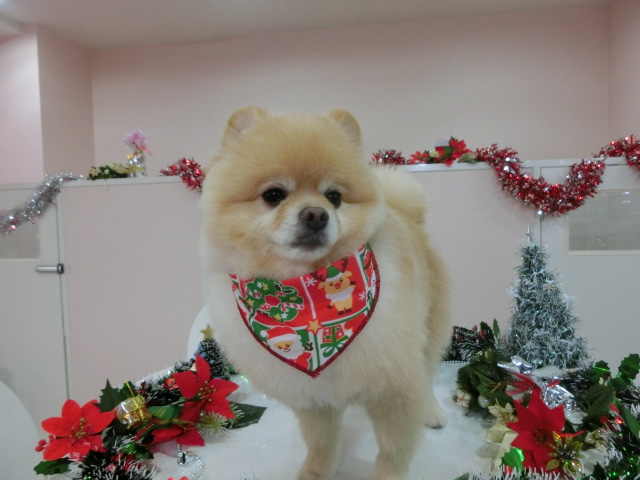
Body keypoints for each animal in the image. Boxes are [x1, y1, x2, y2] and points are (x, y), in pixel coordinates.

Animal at [199, 106, 450, 480]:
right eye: (273, 195)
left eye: (334, 197)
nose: (316, 214)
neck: (306, 292)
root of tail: (407, 213)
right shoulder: (313, 393)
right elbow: (320, 443)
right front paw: (315, 472)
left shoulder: (394, 387)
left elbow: (393, 448)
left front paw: (388, 473)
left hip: (430, 325)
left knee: (429, 368)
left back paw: (431, 411)